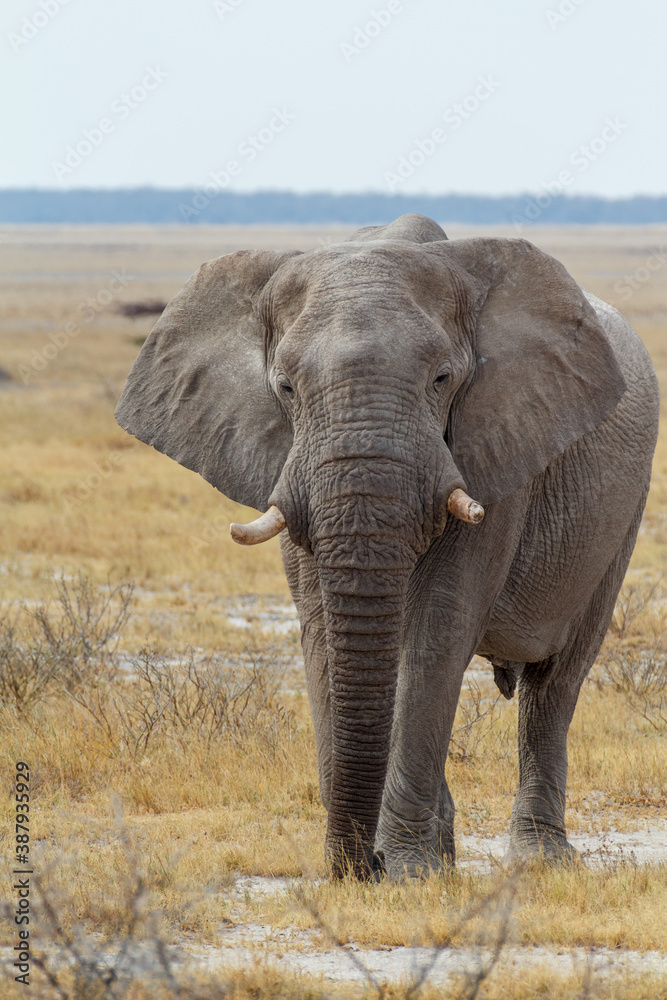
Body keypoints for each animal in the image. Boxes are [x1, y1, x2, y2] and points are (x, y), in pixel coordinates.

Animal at [115, 213, 659, 880]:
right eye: (286, 387)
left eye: (442, 379)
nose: (362, 866)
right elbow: (323, 631)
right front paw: (391, 869)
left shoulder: (495, 446)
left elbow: (435, 636)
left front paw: (407, 871)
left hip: (625, 512)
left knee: (554, 683)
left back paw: (540, 860)